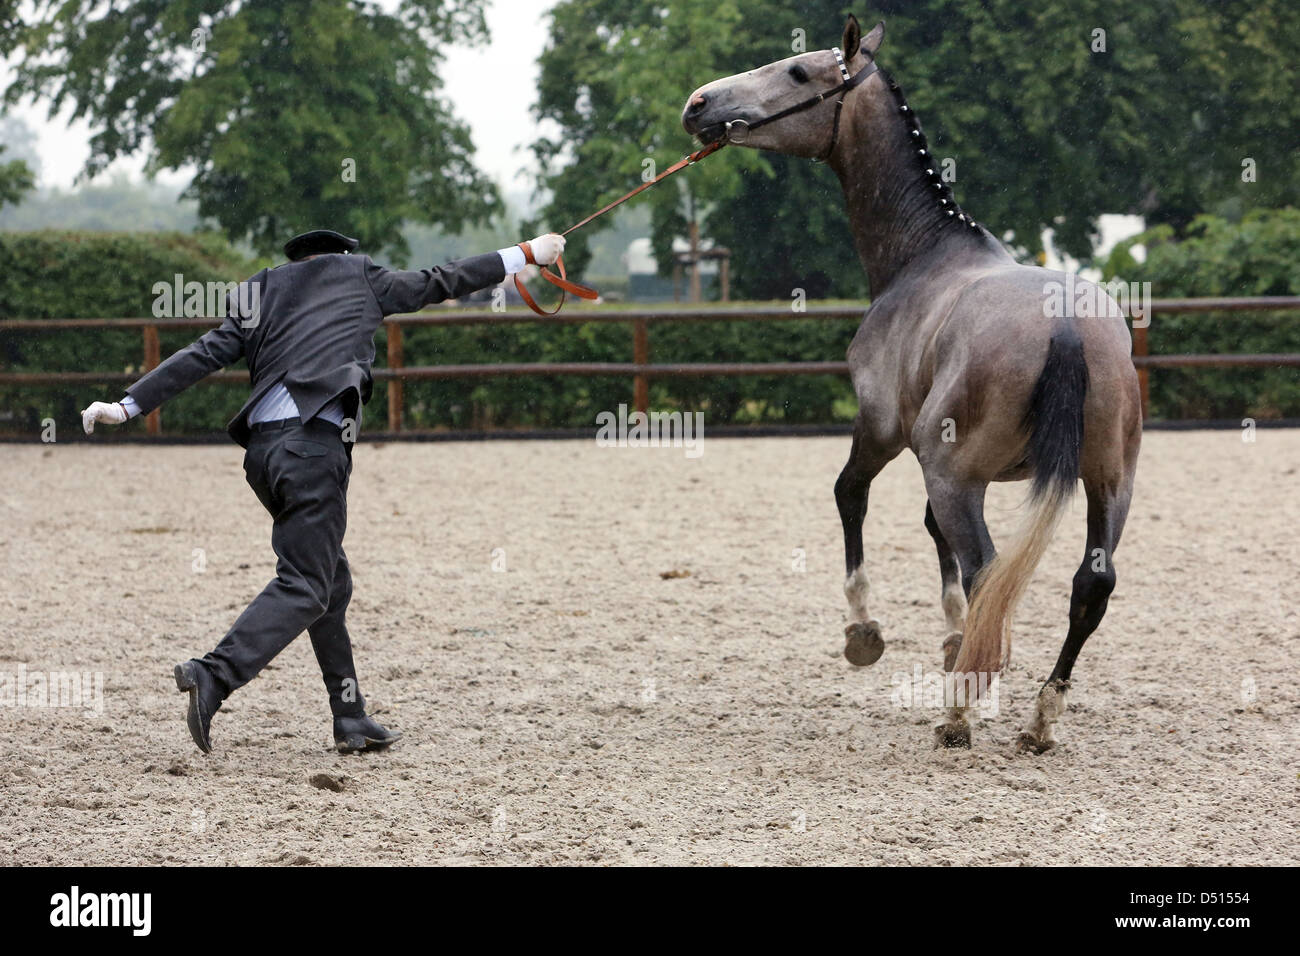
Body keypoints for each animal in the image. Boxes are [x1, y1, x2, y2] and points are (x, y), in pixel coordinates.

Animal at [686, 11, 1144, 749]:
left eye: (798, 71)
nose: (700, 103)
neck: (924, 254)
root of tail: (1066, 328)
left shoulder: (881, 431)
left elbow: (849, 496)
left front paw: (863, 632)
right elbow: (932, 534)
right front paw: (954, 639)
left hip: (956, 473)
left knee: (988, 570)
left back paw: (957, 715)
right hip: (1109, 484)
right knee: (1090, 587)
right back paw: (1039, 719)